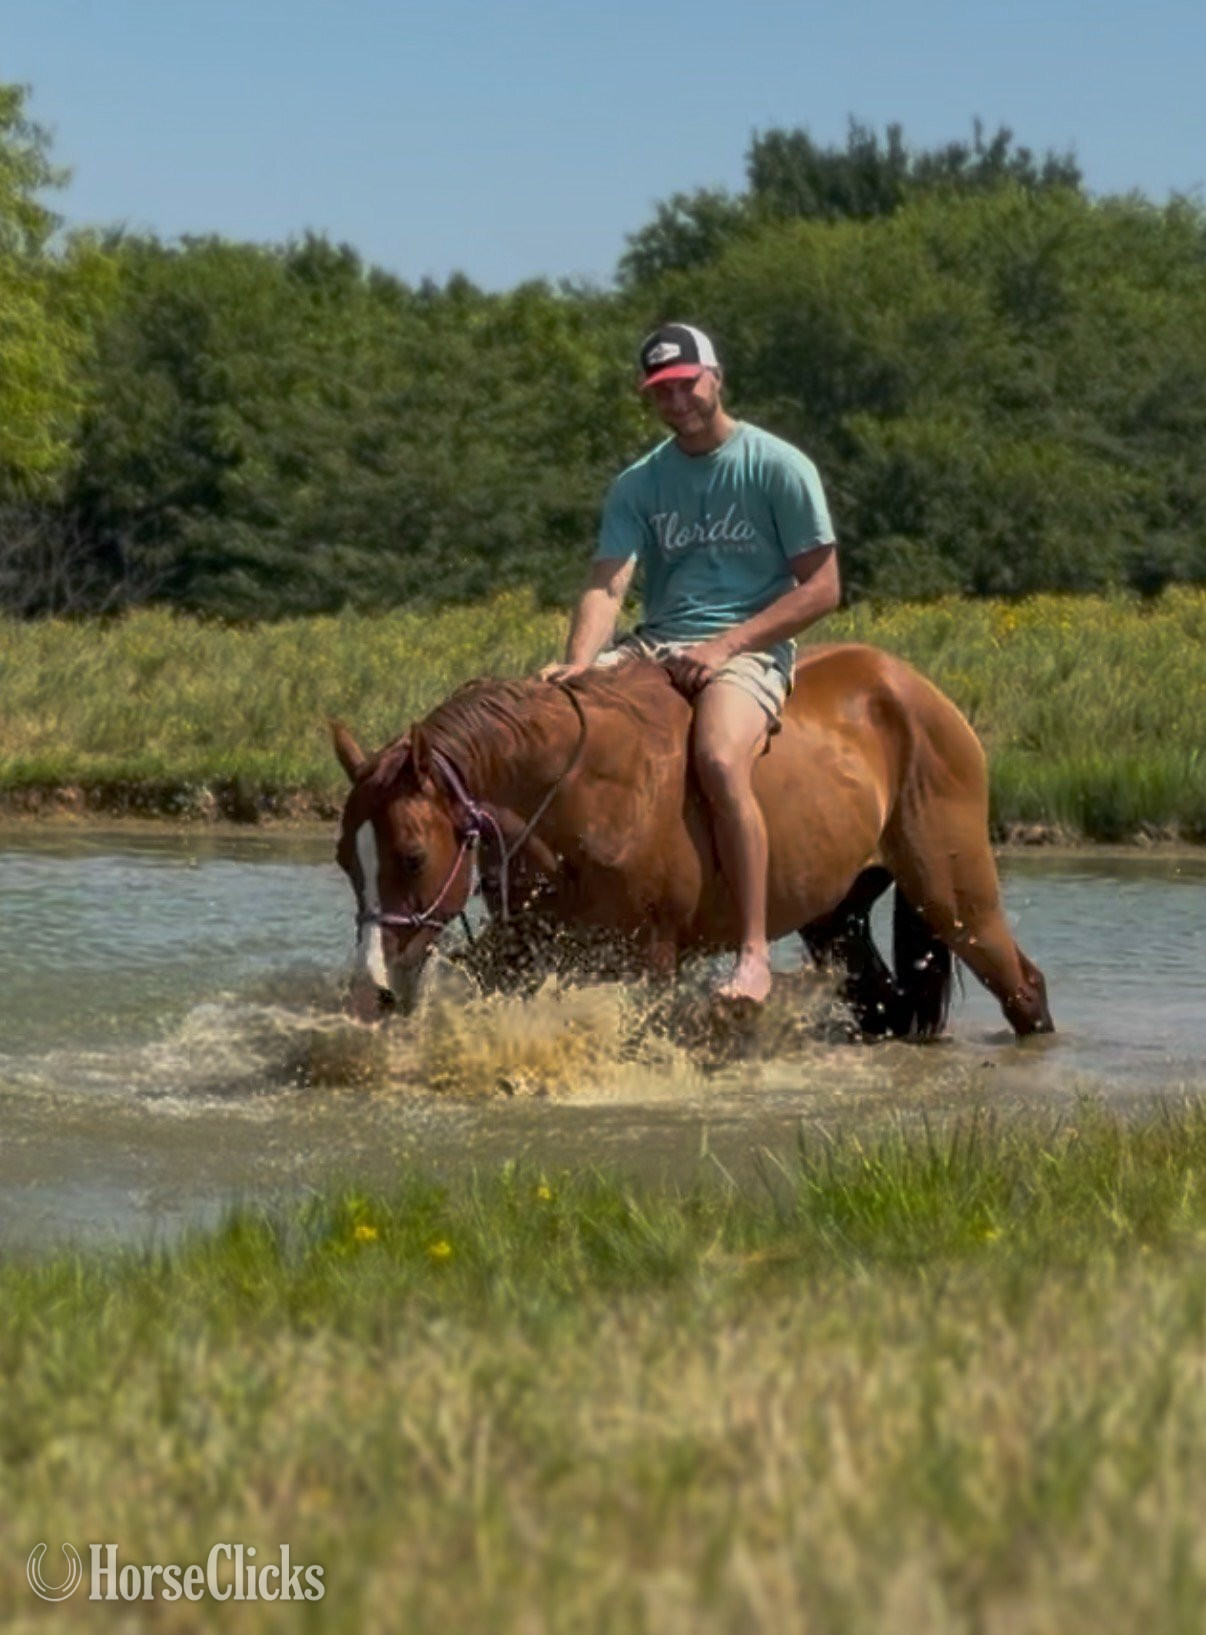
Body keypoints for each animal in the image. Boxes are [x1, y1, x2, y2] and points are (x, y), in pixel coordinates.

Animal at [331, 644, 1054, 1039]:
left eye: (412, 856)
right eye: (345, 861)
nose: (370, 990)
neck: (578, 795)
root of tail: (915, 691)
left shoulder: (649, 958)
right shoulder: (528, 953)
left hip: (955, 897)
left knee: (1024, 987)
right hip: (837, 914)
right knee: (884, 1003)